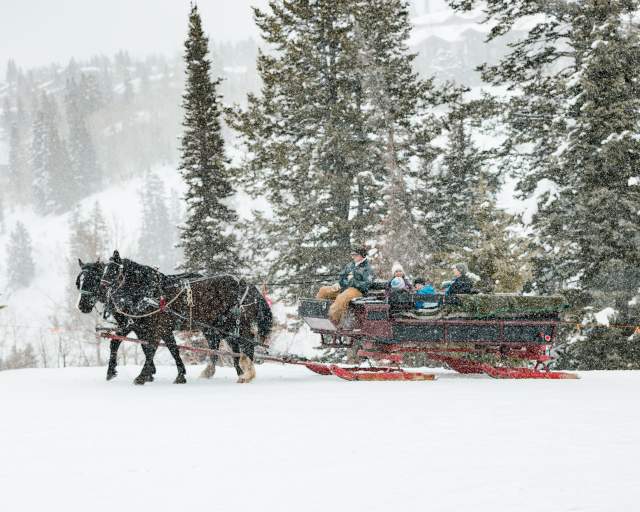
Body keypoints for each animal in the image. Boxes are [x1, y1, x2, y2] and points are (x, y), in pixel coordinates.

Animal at [100, 252, 272, 384]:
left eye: (113, 270)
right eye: (103, 271)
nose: (103, 288)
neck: (152, 293)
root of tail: (247, 285)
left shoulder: (157, 327)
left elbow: (151, 349)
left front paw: (142, 377)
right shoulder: (155, 328)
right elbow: (169, 349)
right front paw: (178, 375)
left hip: (238, 324)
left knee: (247, 345)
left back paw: (246, 374)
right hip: (221, 326)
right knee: (227, 347)